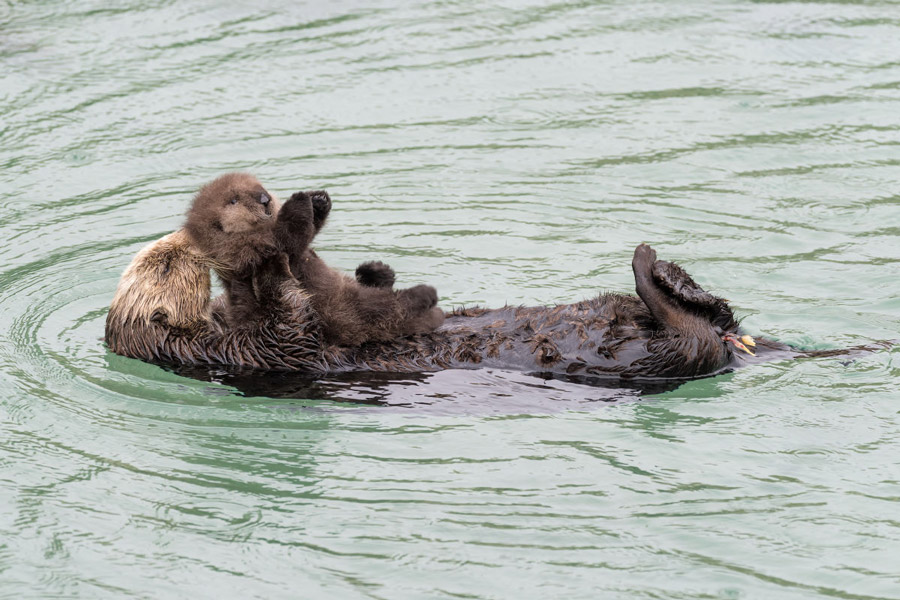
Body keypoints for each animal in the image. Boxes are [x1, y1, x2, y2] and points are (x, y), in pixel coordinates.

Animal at [185, 171, 444, 344]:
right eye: (234, 200)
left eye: (259, 186)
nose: (264, 198)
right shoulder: (251, 251)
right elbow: (290, 238)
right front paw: (298, 200)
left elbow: (306, 236)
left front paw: (318, 200)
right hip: (347, 309)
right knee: (389, 308)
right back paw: (424, 294)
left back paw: (376, 271)